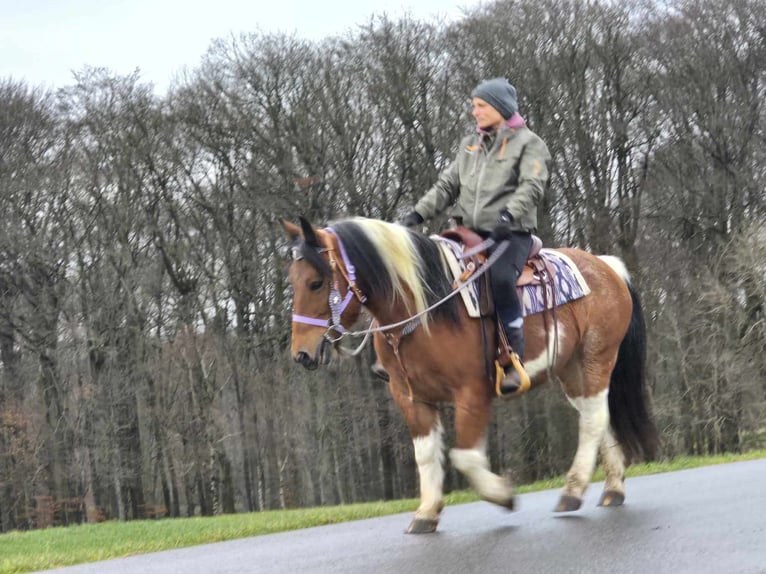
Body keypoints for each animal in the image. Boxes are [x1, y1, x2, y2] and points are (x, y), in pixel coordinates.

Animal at [282, 216, 660, 536]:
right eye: (293, 282)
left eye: (316, 283)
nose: (301, 353)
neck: (425, 307)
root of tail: (607, 266)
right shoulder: (410, 398)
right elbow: (426, 454)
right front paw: (426, 513)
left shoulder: (472, 392)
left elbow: (463, 456)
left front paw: (502, 494)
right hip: (572, 369)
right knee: (599, 415)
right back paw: (612, 488)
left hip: (597, 357)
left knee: (593, 420)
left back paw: (573, 490)